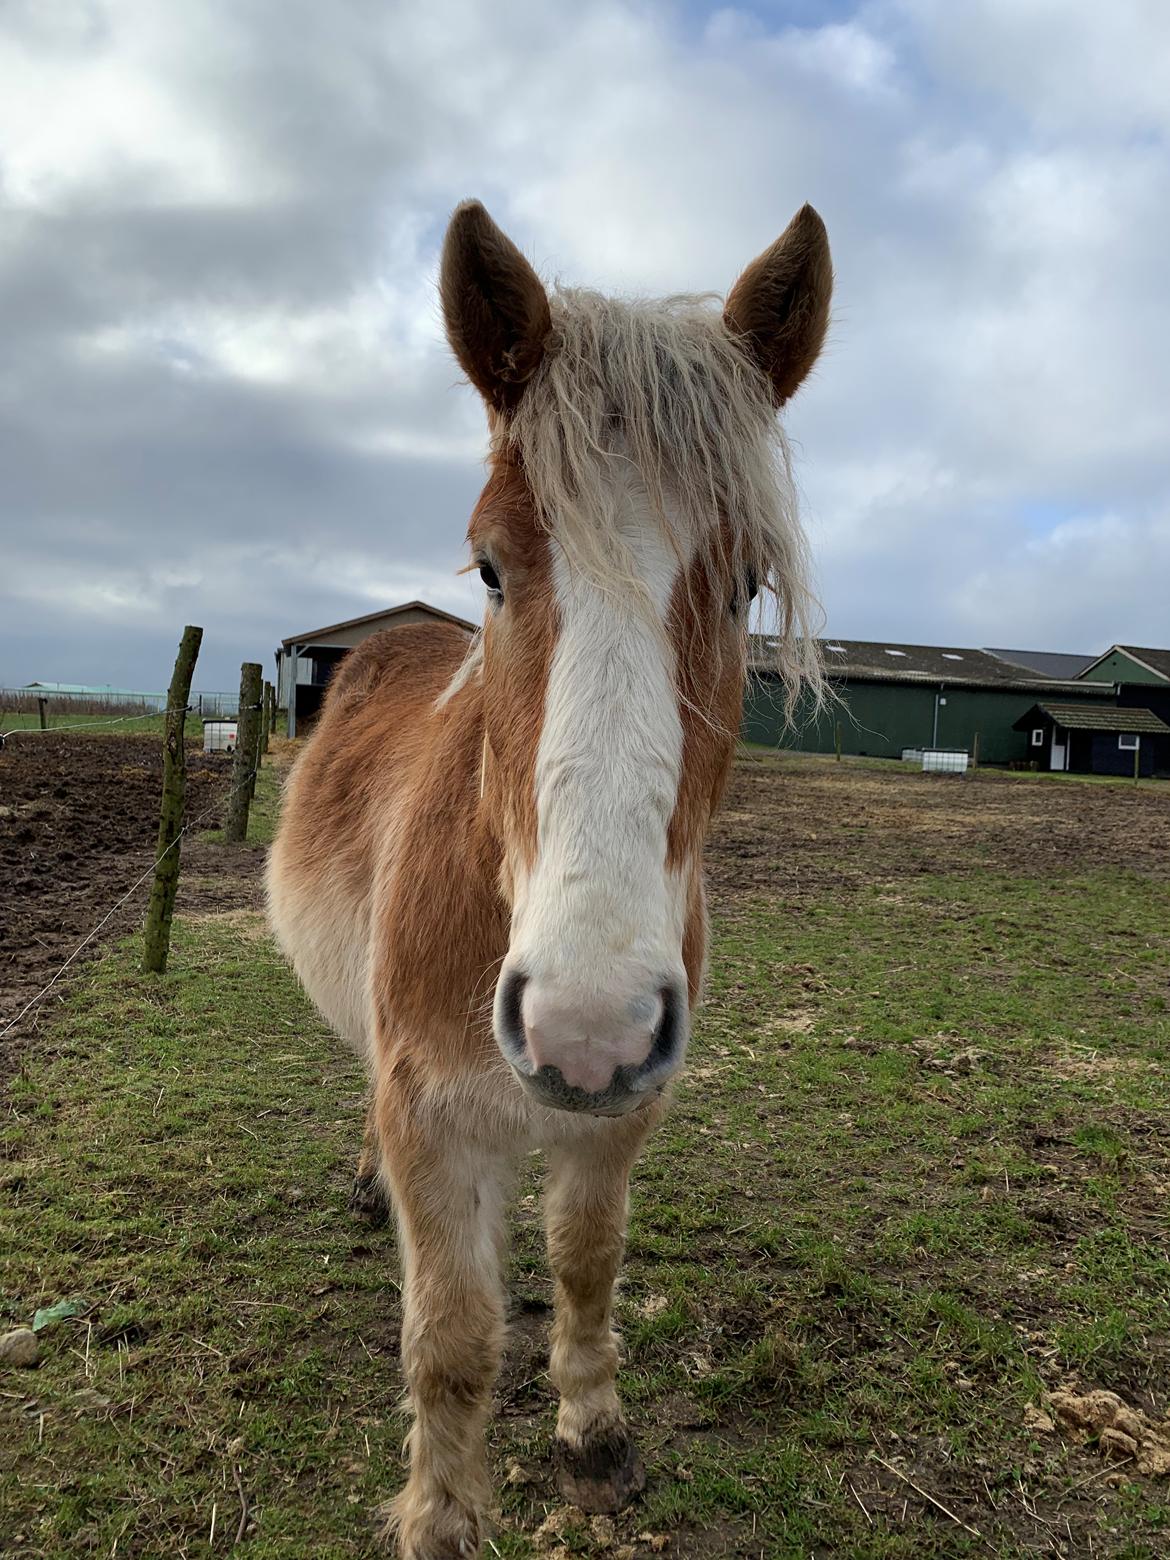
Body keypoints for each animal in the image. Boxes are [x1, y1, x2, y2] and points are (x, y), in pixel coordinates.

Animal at [269, 201, 829, 1553]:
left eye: (744, 582)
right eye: (488, 564)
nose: (585, 1026)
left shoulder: (618, 1119)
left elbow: (584, 1266)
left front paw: (593, 1437)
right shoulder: (433, 1124)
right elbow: (453, 1341)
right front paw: (439, 1517)